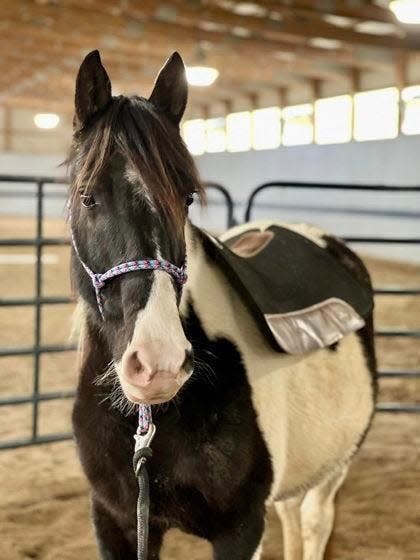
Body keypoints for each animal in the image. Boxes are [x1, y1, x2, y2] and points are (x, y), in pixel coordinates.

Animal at [69, 49, 378, 560]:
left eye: (187, 198)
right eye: (87, 197)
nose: (158, 364)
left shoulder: (241, 529)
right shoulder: (116, 520)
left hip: (336, 463)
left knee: (314, 522)